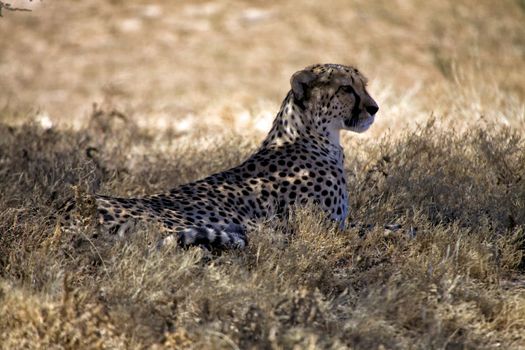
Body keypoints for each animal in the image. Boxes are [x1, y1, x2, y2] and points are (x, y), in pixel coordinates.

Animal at [89, 63, 376, 249]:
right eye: (346, 89)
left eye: (364, 85)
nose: (374, 108)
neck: (312, 135)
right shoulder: (328, 227)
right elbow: (375, 229)